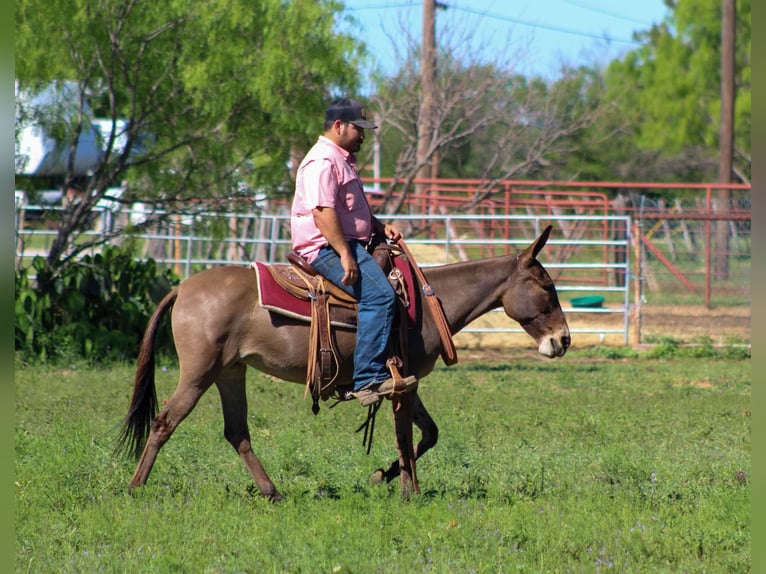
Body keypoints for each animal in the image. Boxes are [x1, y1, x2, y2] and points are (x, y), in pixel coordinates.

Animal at [118, 225, 570, 500]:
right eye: (546, 286)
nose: (563, 340)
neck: (427, 303)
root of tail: (182, 287)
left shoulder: (408, 381)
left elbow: (429, 434)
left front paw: (384, 476)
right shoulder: (402, 383)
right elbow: (405, 436)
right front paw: (410, 493)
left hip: (230, 371)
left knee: (237, 432)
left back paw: (273, 492)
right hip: (199, 373)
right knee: (164, 422)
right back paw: (135, 487)